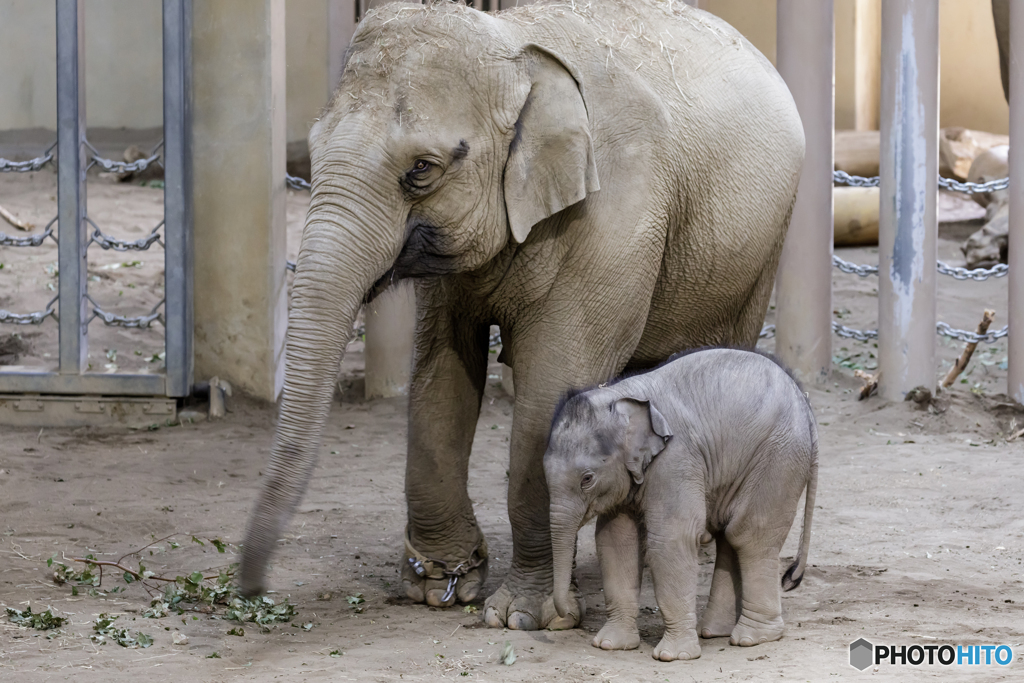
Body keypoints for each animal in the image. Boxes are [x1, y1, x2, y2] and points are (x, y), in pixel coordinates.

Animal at [241, 0, 806, 634]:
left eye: (421, 169)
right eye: (311, 153)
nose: (253, 589)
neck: (515, 44)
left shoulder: (614, 213)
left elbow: (551, 385)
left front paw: (522, 615)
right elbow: (440, 378)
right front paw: (442, 586)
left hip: (759, 253)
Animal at [544, 350, 815, 659]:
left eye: (587, 479)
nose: (563, 616)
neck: (619, 395)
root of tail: (804, 399)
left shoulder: (675, 459)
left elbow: (672, 538)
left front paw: (673, 656)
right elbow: (615, 539)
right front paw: (610, 645)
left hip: (779, 457)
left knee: (749, 535)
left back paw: (752, 638)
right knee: (730, 535)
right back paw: (714, 632)